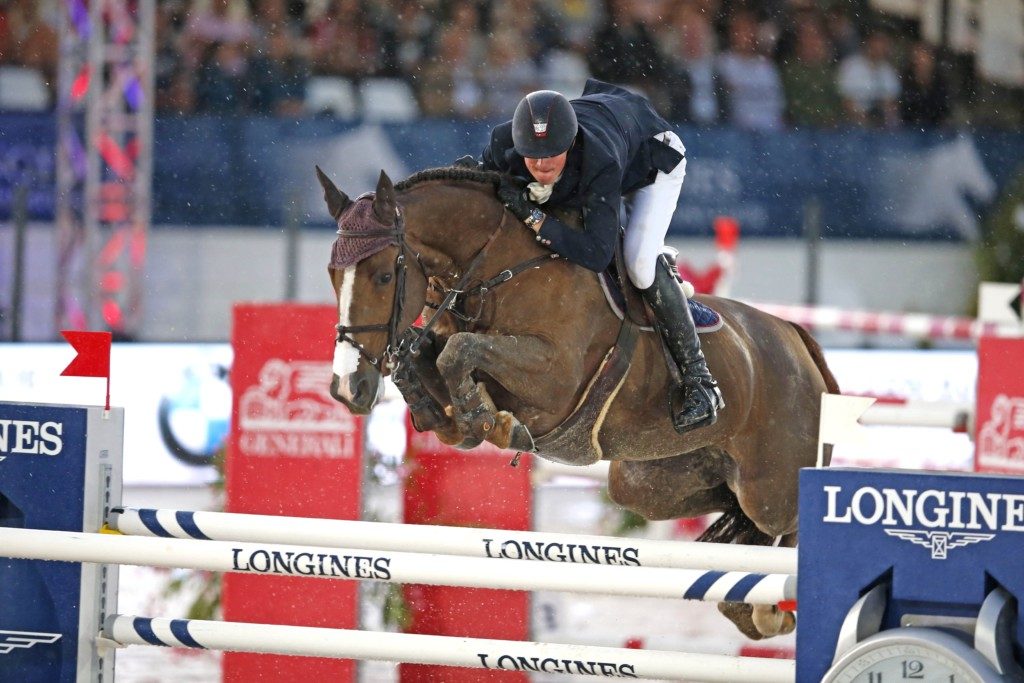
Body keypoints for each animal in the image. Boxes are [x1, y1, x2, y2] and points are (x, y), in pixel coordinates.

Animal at [319, 165, 839, 643]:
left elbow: (460, 351)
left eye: (384, 275)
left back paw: (773, 609)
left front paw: (487, 418)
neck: (497, 270)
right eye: (331, 276)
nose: (348, 388)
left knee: (786, 519)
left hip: (770, 488)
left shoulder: (554, 378)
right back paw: (741, 585)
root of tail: (798, 340)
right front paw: (451, 414)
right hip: (647, 484)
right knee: (732, 514)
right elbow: (427, 358)